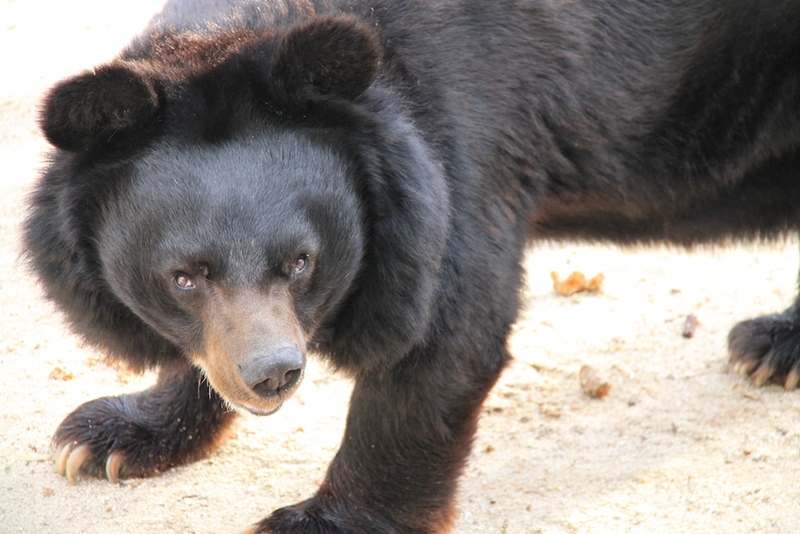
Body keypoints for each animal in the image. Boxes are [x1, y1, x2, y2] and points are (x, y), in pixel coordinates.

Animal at [21, 0, 800, 532]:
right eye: (184, 276)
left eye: (301, 262)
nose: (275, 375)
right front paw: (108, 437)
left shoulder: (462, 150)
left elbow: (438, 346)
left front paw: (313, 523)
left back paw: (769, 346)